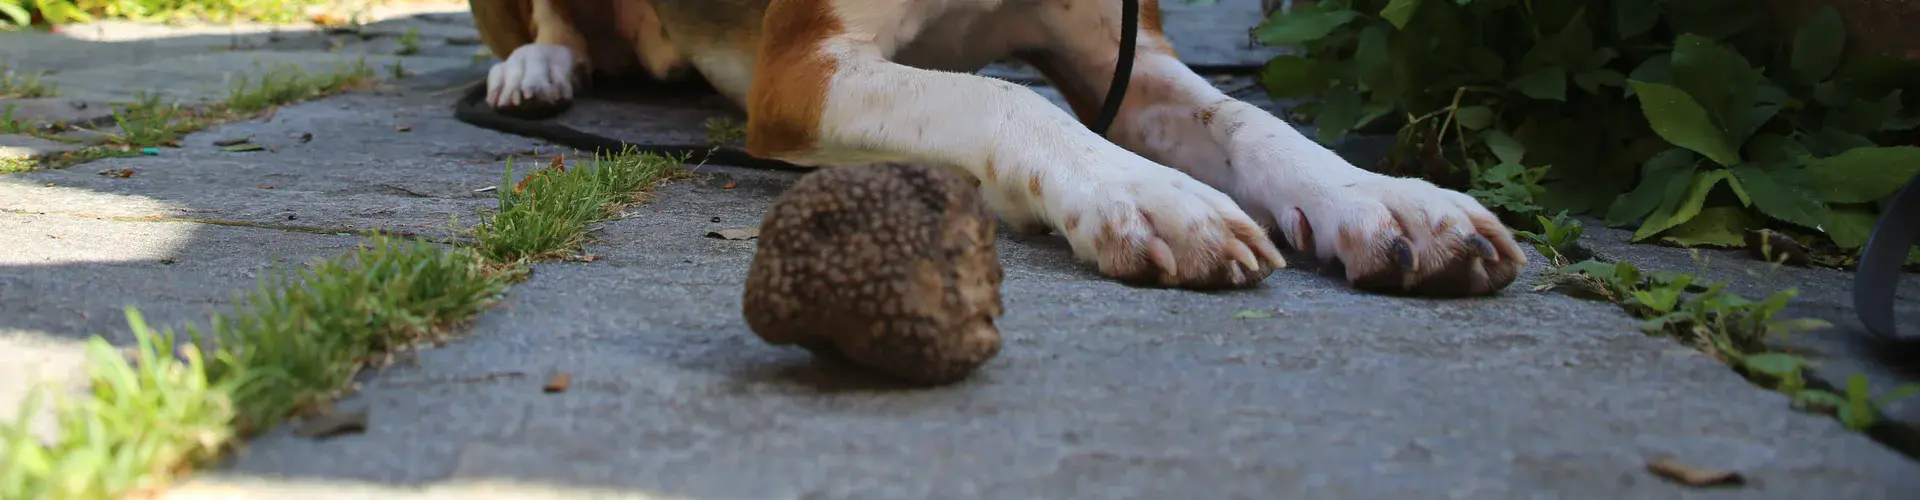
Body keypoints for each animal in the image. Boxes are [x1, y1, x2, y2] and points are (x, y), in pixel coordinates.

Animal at [464, 0, 1528, 294]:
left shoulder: (1122, 57)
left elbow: (1248, 120)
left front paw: (1386, 198)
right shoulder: (801, 68)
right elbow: (1002, 97)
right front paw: (1149, 198)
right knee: (548, 27)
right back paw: (537, 70)